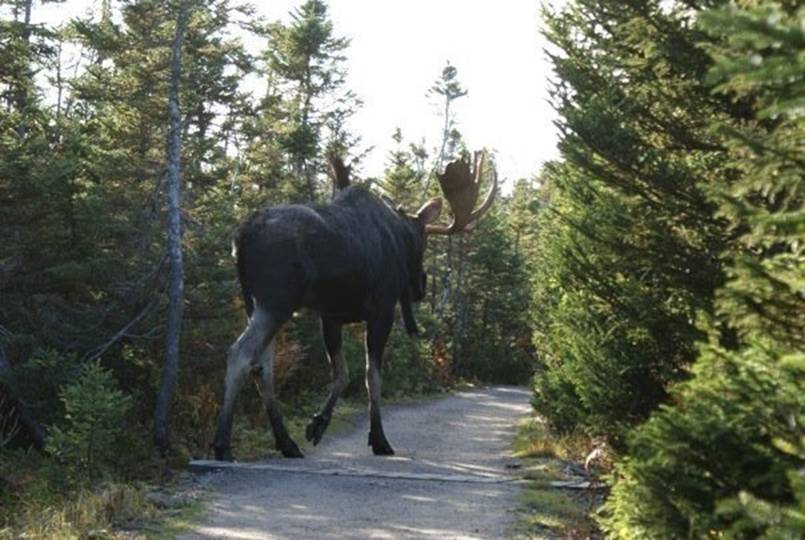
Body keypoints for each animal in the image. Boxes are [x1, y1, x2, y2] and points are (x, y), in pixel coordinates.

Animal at [210, 151, 494, 460]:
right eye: (423, 241)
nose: (420, 286)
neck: (398, 233)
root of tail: (242, 236)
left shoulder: (331, 315)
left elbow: (342, 373)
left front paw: (318, 424)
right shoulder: (381, 310)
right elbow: (372, 377)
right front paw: (379, 439)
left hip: (255, 303)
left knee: (263, 366)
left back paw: (287, 443)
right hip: (276, 301)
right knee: (240, 354)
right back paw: (222, 444)